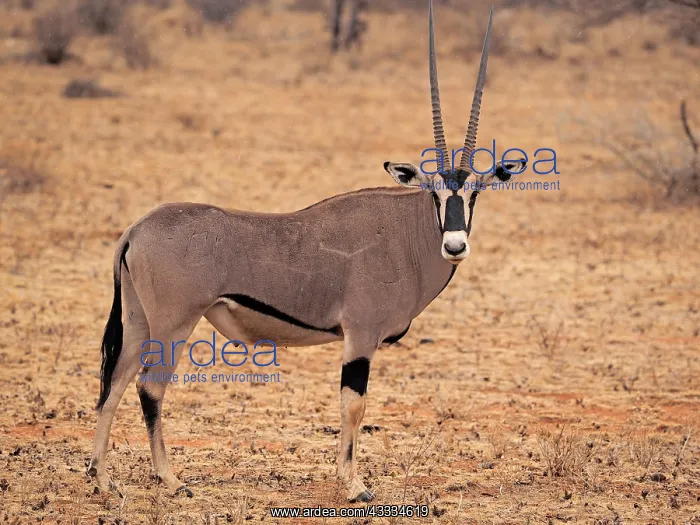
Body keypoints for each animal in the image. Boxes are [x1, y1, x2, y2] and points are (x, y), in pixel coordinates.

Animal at [87, 0, 526, 503]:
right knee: (150, 386)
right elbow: (353, 406)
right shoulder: (360, 336)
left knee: (115, 381)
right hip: (174, 323)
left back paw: (101, 476)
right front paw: (354, 486)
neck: (405, 234)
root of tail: (135, 229)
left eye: (475, 194)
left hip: (139, 319)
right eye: (434, 193)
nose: (455, 245)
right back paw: (170, 478)